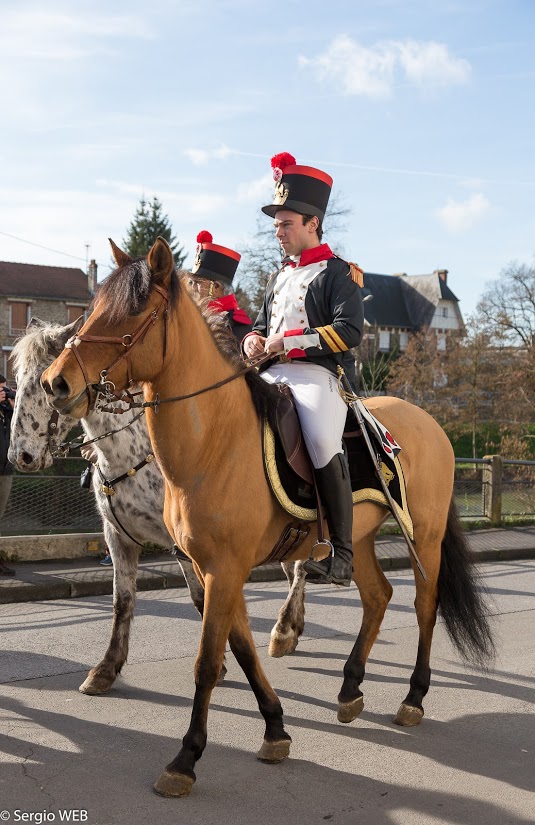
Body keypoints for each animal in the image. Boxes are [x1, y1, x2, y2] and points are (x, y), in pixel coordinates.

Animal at [8, 318, 306, 692]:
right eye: (18, 380)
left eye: (45, 384)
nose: (20, 456)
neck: (131, 454)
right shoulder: (117, 537)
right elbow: (123, 602)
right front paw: (106, 669)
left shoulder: (189, 544)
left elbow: (201, 598)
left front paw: (220, 660)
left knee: (301, 568)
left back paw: (284, 630)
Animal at [42, 238, 494, 800]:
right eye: (93, 306)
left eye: (133, 313)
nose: (55, 383)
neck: (213, 439)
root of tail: (431, 423)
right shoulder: (216, 566)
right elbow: (241, 648)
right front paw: (275, 728)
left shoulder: (224, 568)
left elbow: (208, 661)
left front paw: (186, 759)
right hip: (361, 537)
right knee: (378, 597)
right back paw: (349, 687)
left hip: (425, 538)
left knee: (425, 606)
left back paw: (412, 698)